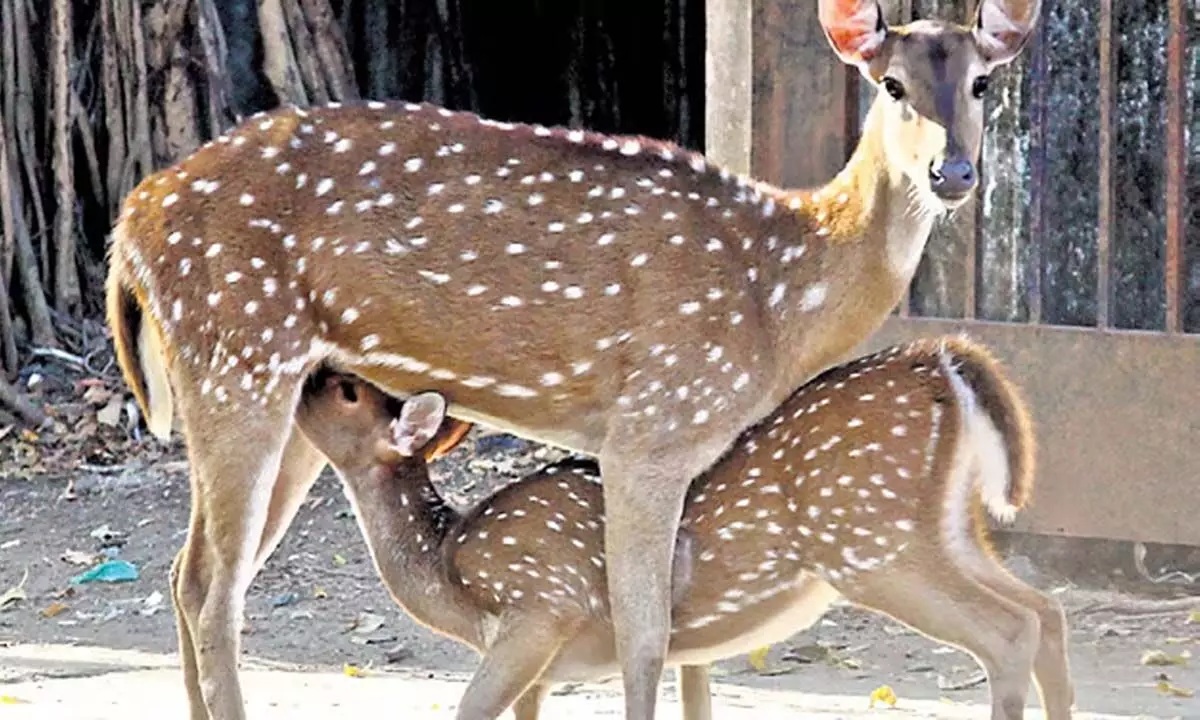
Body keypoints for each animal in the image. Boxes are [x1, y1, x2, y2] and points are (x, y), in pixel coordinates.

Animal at [295, 333, 1075, 715]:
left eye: (346, 390)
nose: (308, 371)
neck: (451, 567)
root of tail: (942, 363)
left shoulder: (542, 601)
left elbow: (466, 707)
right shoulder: (552, 664)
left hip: (870, 541)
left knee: (1009, 630)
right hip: (948, 532)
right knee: (1045, 610)